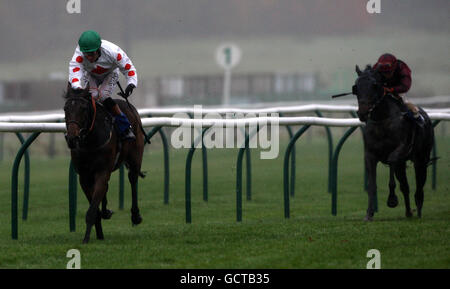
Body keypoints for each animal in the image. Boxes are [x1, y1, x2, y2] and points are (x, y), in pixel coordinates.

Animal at [63, 84, 143, 242]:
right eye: (65, 108)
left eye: (83, 109)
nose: (72, 138)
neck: (90, 141)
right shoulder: (84, 176)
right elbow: (95, 205)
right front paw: (99, 233)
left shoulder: (102, 171)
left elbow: (92, 208)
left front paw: (86, 238)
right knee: (106, 188)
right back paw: (106, 212)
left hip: (135, 157)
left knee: (133, 179)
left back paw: (135, 215)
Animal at [352, 64, 432, 219]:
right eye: (356, 87)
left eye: (375, 85)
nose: (362, 112)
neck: (382, 120)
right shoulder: (369, 155)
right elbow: (372, 185)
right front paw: (369, 213)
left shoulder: (401, 149)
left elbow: (391, 161)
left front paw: (392, 200)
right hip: (404, 165)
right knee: (405, 186)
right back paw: (408, 212)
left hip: (421, 158)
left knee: (420, 183)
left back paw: (418, 210)